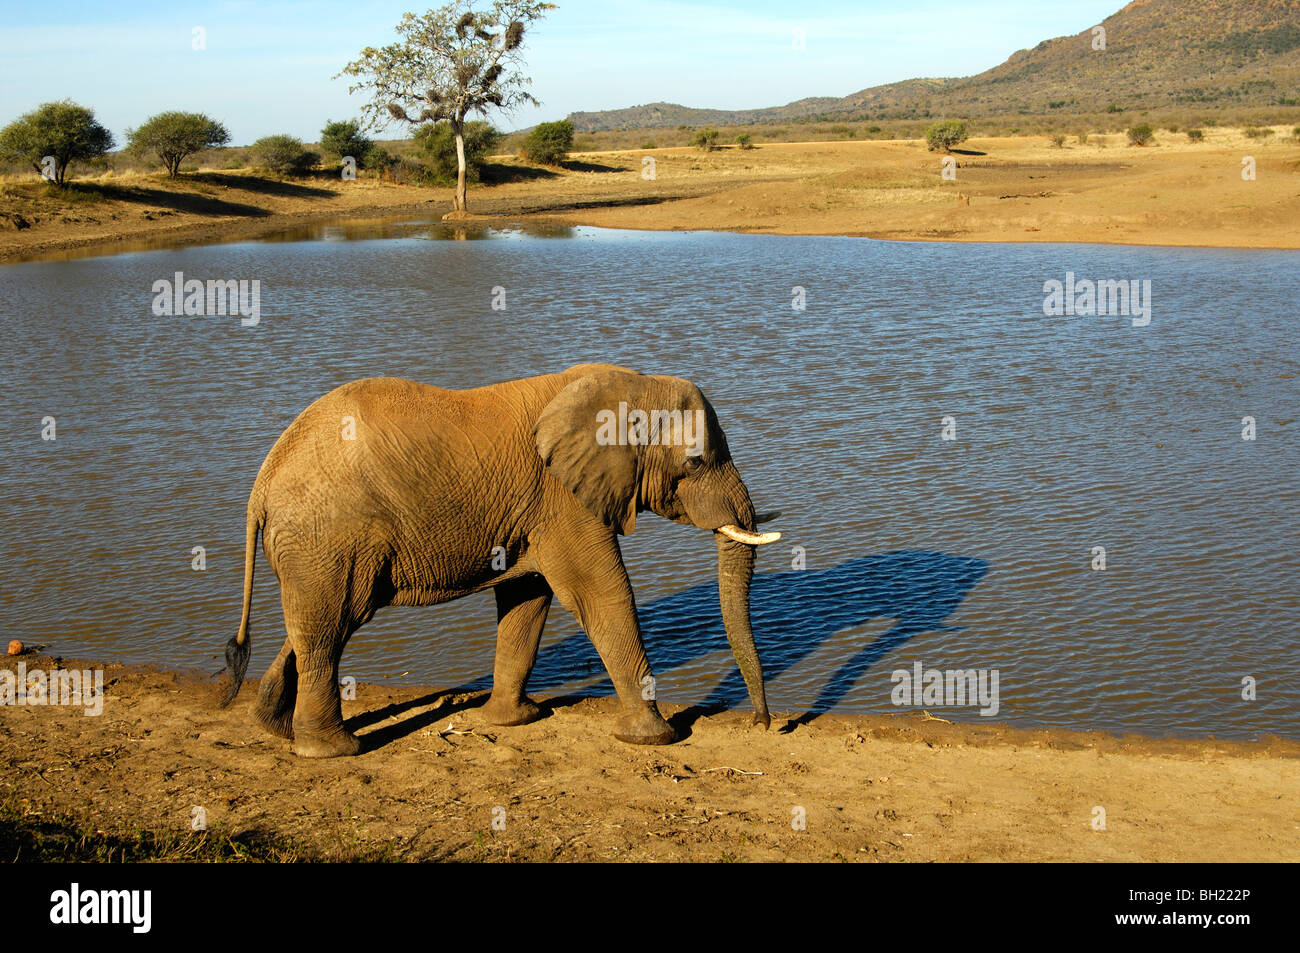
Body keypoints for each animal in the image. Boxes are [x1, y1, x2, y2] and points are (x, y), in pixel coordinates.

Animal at [218, 363, 782, 757]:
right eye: (697, 463)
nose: (763, 725)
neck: (631, 385)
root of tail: (262, 482)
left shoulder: (534, 512)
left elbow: (527, 599)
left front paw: (515, 721)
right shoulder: (564, 501)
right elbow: (602, 594)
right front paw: (652, 738)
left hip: (315, 546)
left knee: (319, 624)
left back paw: (274, 728)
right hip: (328, 535)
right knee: (333, 625)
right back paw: (333, 750)